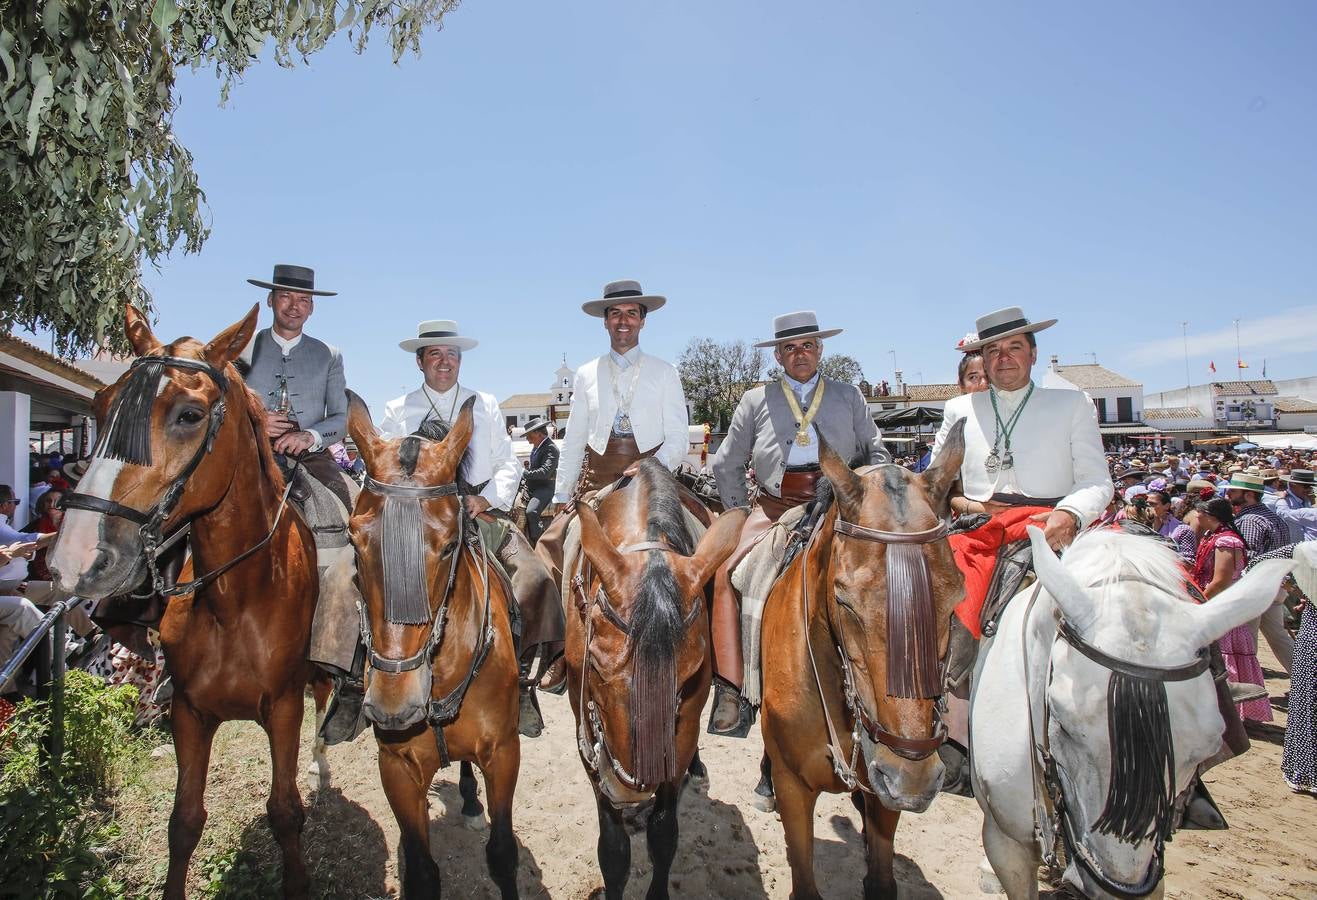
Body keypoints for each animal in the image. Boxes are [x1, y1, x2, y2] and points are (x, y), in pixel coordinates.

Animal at [50, 305, 329, 896]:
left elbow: (285, 811)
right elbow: (184, 822)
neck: (233, 600)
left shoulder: (284, 707)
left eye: (189, 414)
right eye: (99, 405)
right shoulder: (188, 711)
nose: (74, 558)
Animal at [345, 395, 524, 900]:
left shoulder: (503, 753)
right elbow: (422, 871)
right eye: (353, 539)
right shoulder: (397, 768)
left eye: (448, 545)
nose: (394, 708)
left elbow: (503, 854)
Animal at [568, 461, 748, 896]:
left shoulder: (680, 733)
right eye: (594, 663)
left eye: (688, 676)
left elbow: (664, 833)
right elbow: (613, 850)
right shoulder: (585, 732)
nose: (626, 788)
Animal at [758, 424, 964, 900]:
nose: (912, 780)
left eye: (954, 599)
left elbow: (882, 876)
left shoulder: (883, 795)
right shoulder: (795, 788)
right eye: (845, 602)